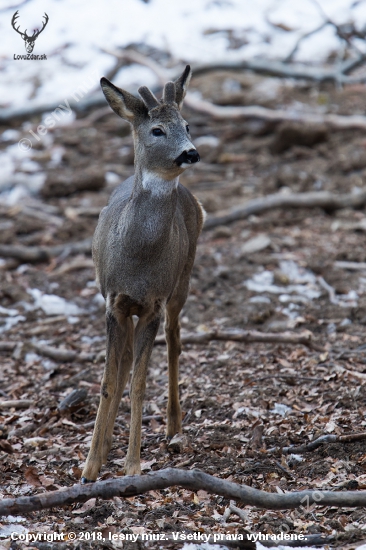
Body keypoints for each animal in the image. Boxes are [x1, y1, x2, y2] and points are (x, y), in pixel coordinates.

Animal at [81, 67, 204, 486]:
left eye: (187, 124)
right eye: (157, 130)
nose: (191, 152)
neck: (137, 261)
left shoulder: (152, 304)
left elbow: (138, 384)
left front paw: (132, 465)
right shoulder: (114, 302)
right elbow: (108, 381)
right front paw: (90, 466)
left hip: (182, 282)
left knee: (174, 342)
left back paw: (174, 428)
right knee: (122, 364)